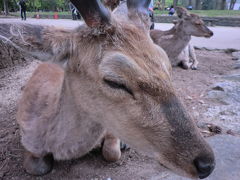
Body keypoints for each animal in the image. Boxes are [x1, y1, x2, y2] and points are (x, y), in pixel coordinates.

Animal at [0, 0, 215, 179]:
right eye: (114, 81)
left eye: (168, 66)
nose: (206, 164)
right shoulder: (27, 139)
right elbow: (36, 167)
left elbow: (112, 153)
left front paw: (119, 144)